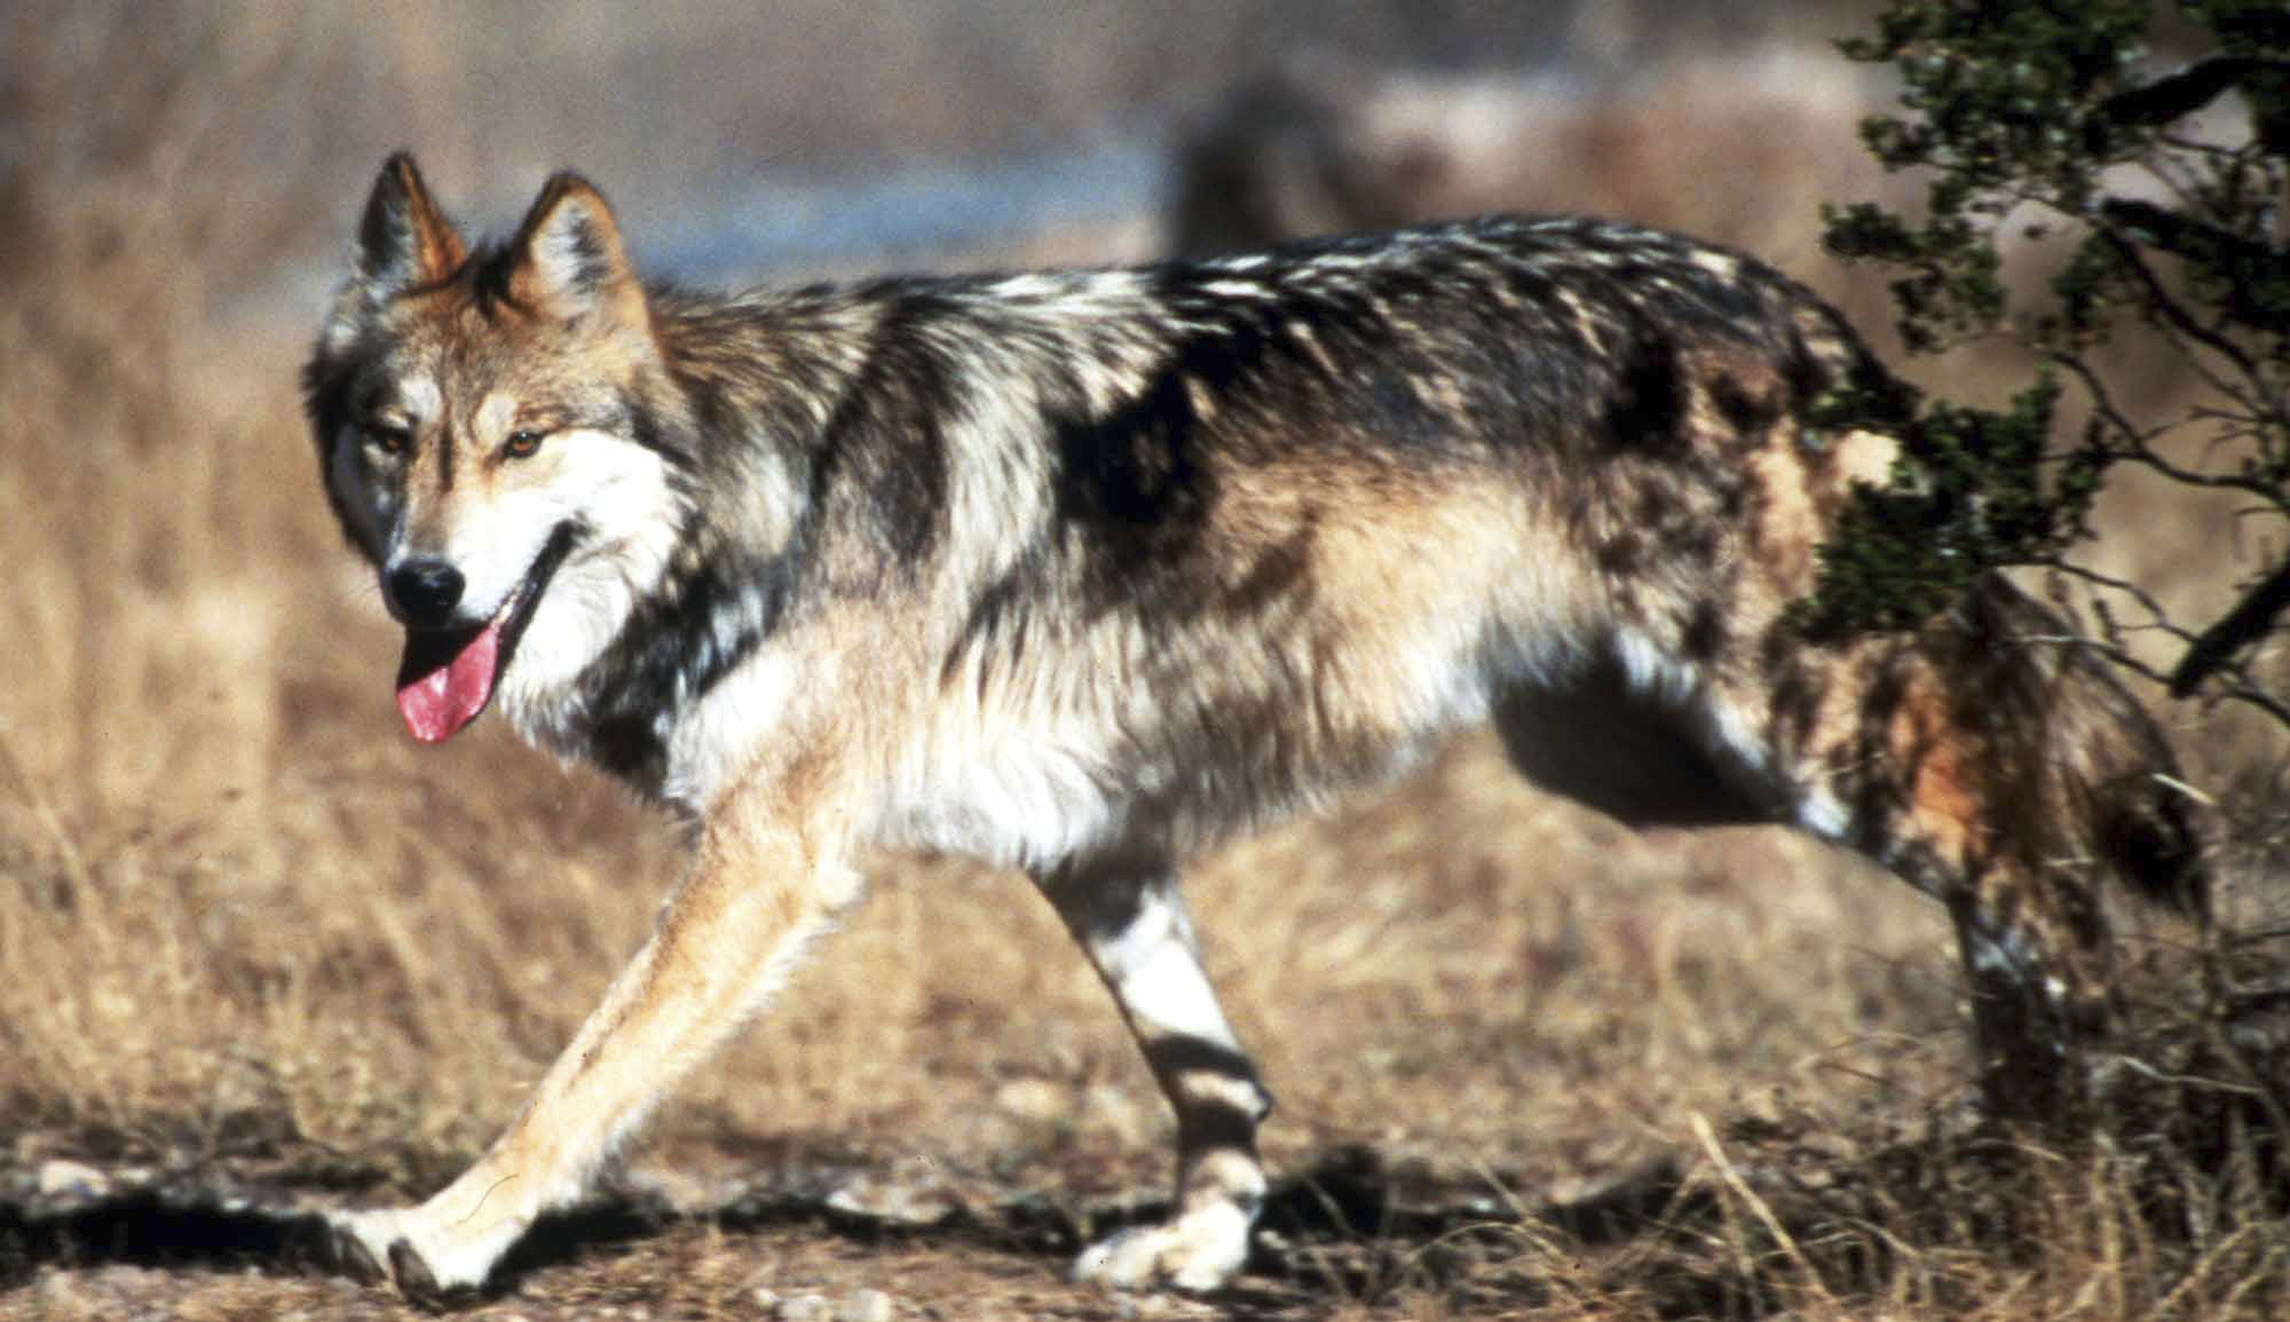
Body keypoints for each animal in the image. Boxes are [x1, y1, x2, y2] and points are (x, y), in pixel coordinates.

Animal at [304, 153, 2205, 1297]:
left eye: (522, 442)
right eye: (396, 439)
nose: (420, 584)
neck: (759, 489)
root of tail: (1790, 300)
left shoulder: (770, 858)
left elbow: (580, 1071)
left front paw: (441, 1232)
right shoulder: (1094, 847)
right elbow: (1210, 1073)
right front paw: (1199, 1250)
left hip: (1790, 732)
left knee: (2041, 869)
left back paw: (2097, 1155)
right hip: (1641, 767)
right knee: (2012, 846)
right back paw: (2045, 1144)